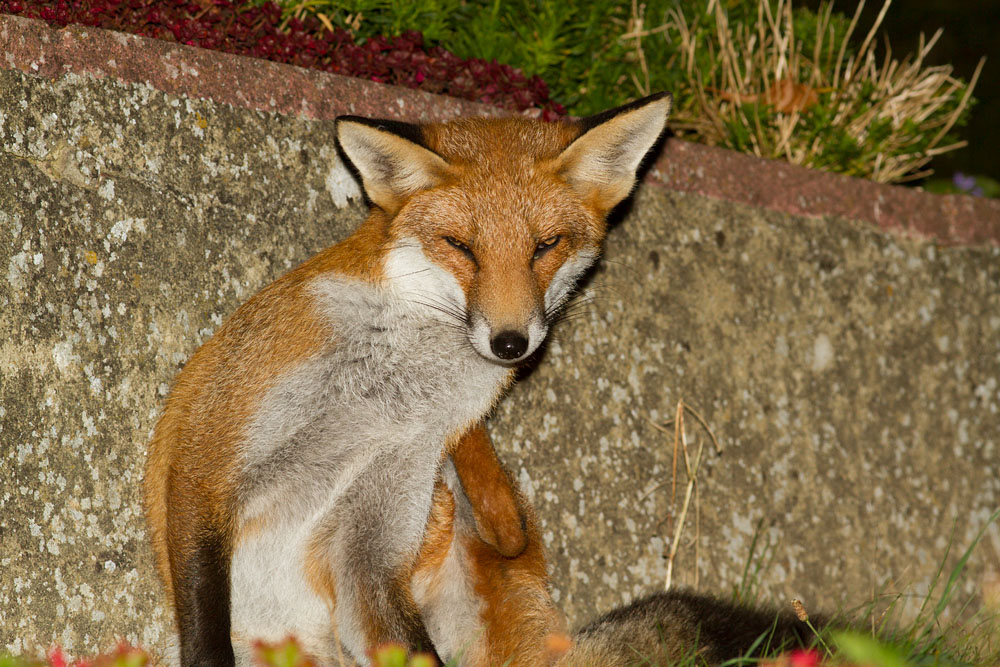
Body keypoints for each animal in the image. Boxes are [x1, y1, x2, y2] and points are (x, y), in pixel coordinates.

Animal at [143, 92, 673, 666]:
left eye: (546, 245)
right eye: (460, 246)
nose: (510, 343)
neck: (394, 399)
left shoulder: (373, 541)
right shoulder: (212, 453)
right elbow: (207, 625)